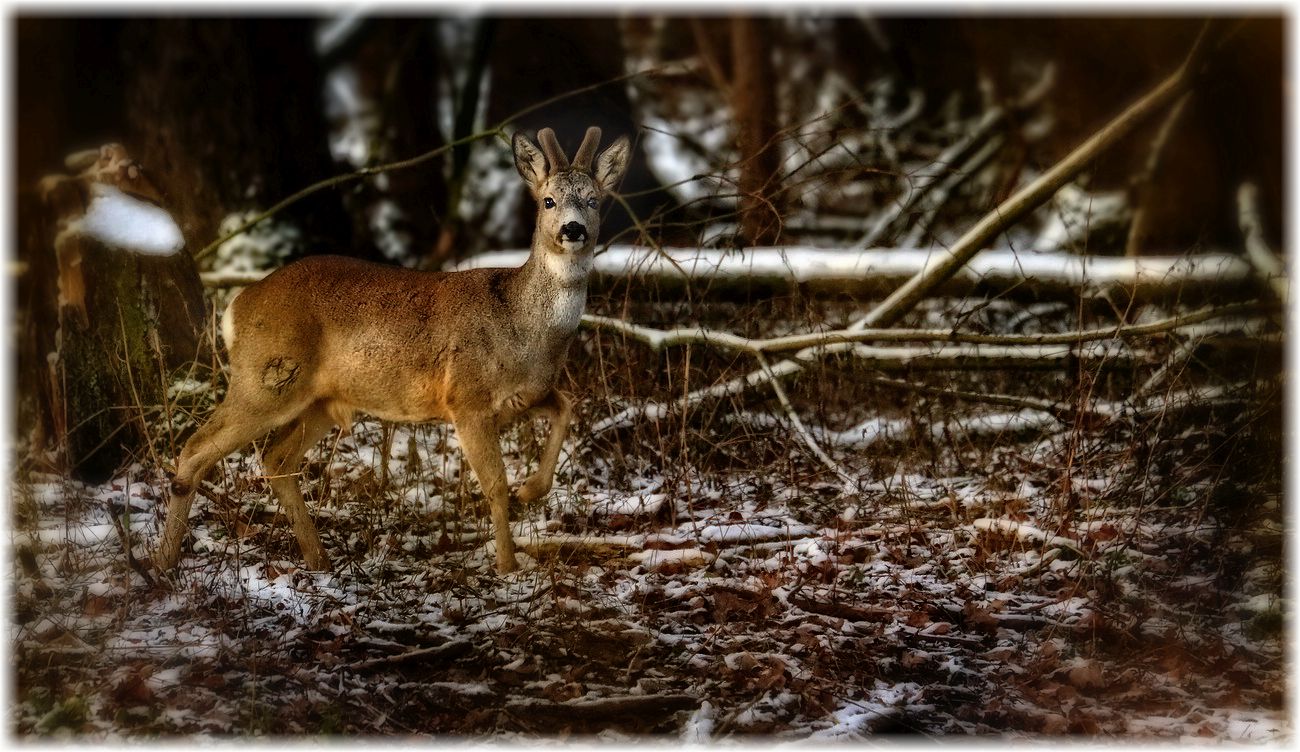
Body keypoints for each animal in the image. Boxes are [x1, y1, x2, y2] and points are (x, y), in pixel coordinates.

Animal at [154, 127, 631, 572]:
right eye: (548, 201)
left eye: (593, 200)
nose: (573, 229)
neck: (521, 324)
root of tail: (236, 306)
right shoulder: (466, 398)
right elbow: (494, 484)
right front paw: (508, 566)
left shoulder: (530, 393)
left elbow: (567, 405)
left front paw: (531, 489)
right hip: (265, 378)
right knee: (195, 449)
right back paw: (164, 562)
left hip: (320, 400)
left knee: (276, 458)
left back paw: (318, 559)